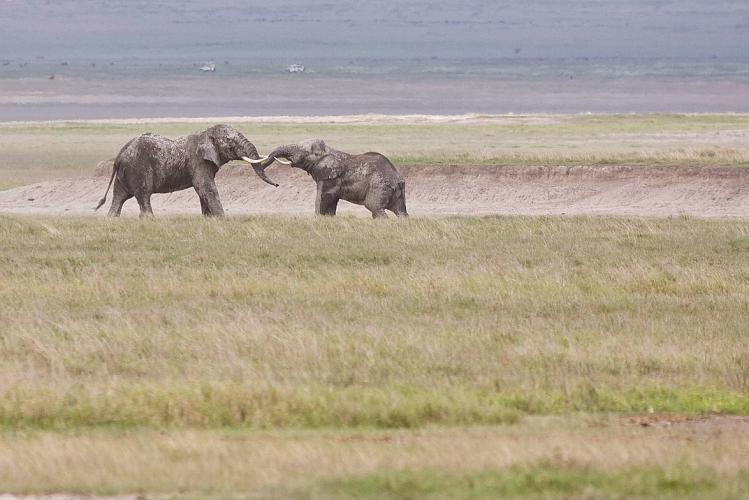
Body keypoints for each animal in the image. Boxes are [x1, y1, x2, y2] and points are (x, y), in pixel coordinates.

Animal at [94, 123, 278, 217]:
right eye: (230, 142)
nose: (277, 185)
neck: (205, 133)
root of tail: (120, 154)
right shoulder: (198, 162)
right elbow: (206, 188)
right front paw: (222, 220)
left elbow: (203, 192)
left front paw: (209, 219)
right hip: (138, 169)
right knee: (143, 197)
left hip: (124, 174)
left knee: (118, 199)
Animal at [253, 141, 406, 219]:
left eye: (306, 154)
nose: (277, 184)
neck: (328, 151)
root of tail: (398, 179)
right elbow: (332, 203)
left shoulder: (330, 178)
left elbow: (322, 198)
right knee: (401, 212)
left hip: (379, 186)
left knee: (374, 207)